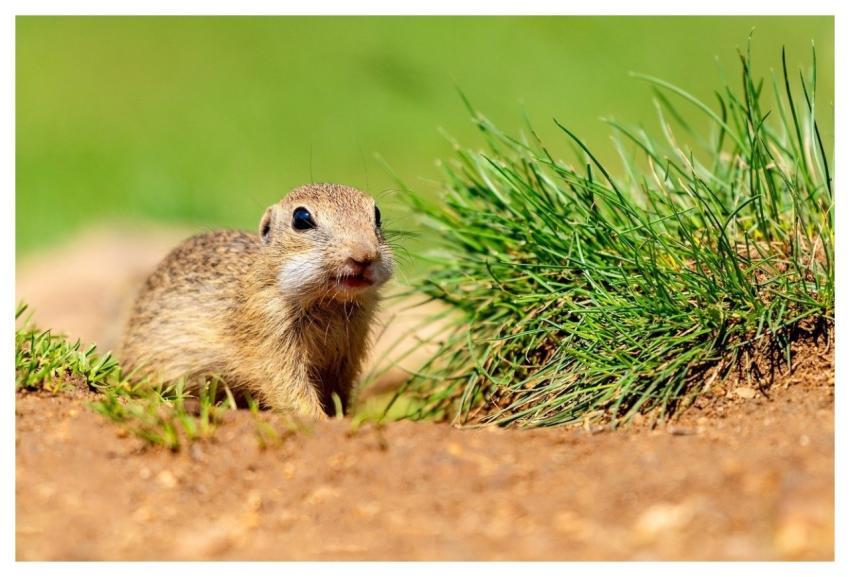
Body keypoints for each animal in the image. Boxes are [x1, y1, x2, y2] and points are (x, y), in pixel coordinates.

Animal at [120, 183, 394, 418]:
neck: (331, 303)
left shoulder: (348, 353)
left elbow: (338, 393)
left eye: (377, 213)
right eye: (301, 218)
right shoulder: (269, 336)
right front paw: (318, 419)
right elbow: (288, 387)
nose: (364, 255)